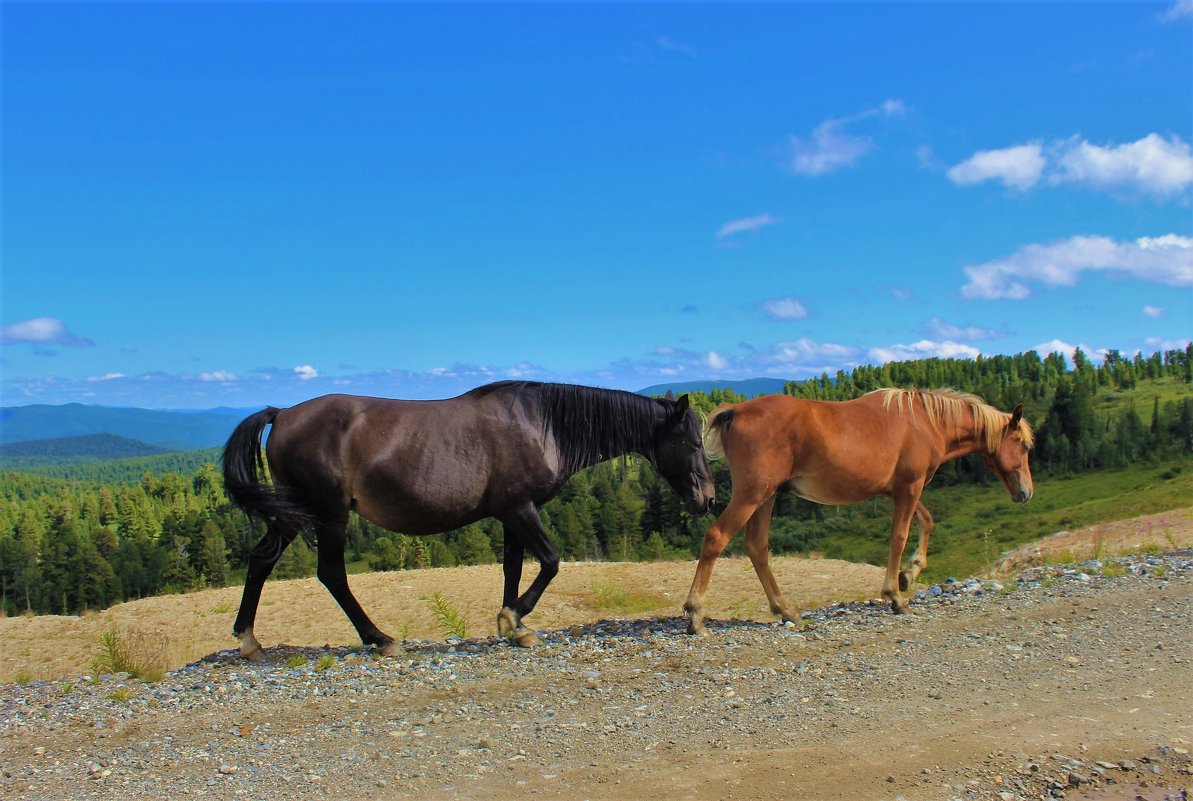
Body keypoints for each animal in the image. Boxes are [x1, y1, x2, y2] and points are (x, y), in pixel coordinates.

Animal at [219, 379, 711, 658]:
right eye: (691, 442)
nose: (706, 498)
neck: (543, 425)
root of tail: (281, 414)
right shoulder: (519, 509)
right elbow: (550, 561)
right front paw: (515, 617)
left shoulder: (512, 512)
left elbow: (514, 567)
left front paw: (514, 626)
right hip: (328, 514)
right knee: (332, 574)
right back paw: (380, 639)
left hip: (296, 514)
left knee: (262, 560)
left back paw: (249, 641)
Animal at [687, 384, 1030, 635]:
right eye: (1025, 446)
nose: (1026, 493)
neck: (925, 422)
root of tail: (736, 411)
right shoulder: (910, 487)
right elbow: (899, 536)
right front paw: (896, 595)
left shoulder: (899, 490)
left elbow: (927, 522)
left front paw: (909, 574)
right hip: (752, 494)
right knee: (717, 537)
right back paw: (695, 615)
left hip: (766, 496)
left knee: (757, 547)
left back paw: (786, 611)